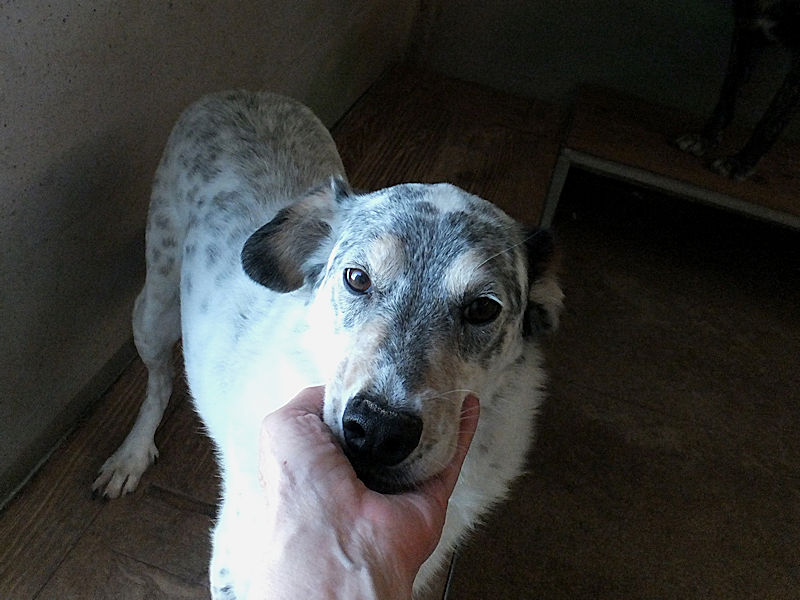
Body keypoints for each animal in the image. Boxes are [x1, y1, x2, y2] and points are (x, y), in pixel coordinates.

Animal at [92, 89, 563, 598]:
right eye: (356, 277)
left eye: (482, 309)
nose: (377, 431)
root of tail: (238, 92)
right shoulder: (232, 567)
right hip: (154, 307)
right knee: (158, 380)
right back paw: (131, 455)